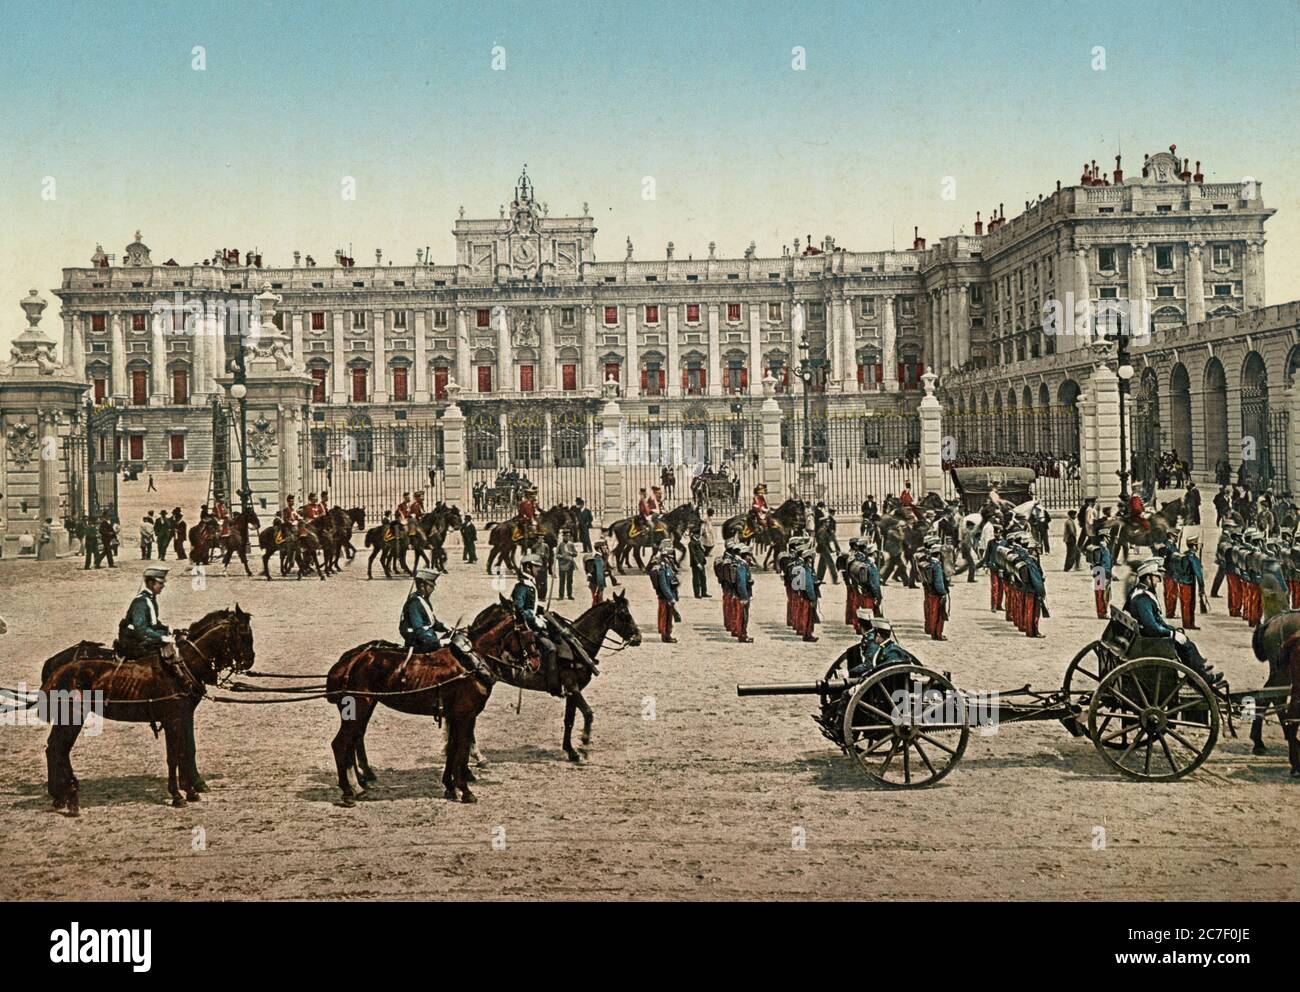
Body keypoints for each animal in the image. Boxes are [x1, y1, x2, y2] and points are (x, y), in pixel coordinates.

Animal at [37, 605, 256, 816]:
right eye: (244, 634)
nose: (249, 661)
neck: (179, 666)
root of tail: (54, 667)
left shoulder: (184, 716)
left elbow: (187, 750)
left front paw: (192, 789)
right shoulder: (172, 719)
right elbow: (174, 756)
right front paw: (178, 795)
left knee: (54, 749)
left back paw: (60, 796)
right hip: (71, 719)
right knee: (58, 749)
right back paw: (69, 796)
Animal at [327, 613, 535, 806]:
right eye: (530, 635)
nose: (533, 665)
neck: (469, 662)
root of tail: (352, 660)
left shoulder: (454, 716)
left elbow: (452, 748)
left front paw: (450, 787)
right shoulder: (466, 715)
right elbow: (462, 750)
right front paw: (465, 790)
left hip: (363, 708)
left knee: (352, 741)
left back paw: (358, 785)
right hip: (359, 707)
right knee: (340, 743)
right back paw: (348, 792)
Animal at [473, 592, 644, 764]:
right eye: (624, 614)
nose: (638, 638)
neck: (577, 646)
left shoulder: (572, 691)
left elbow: (569, 720)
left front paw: (571, 751)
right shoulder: (572, 687)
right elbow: (588, 713)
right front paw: (584, 743)